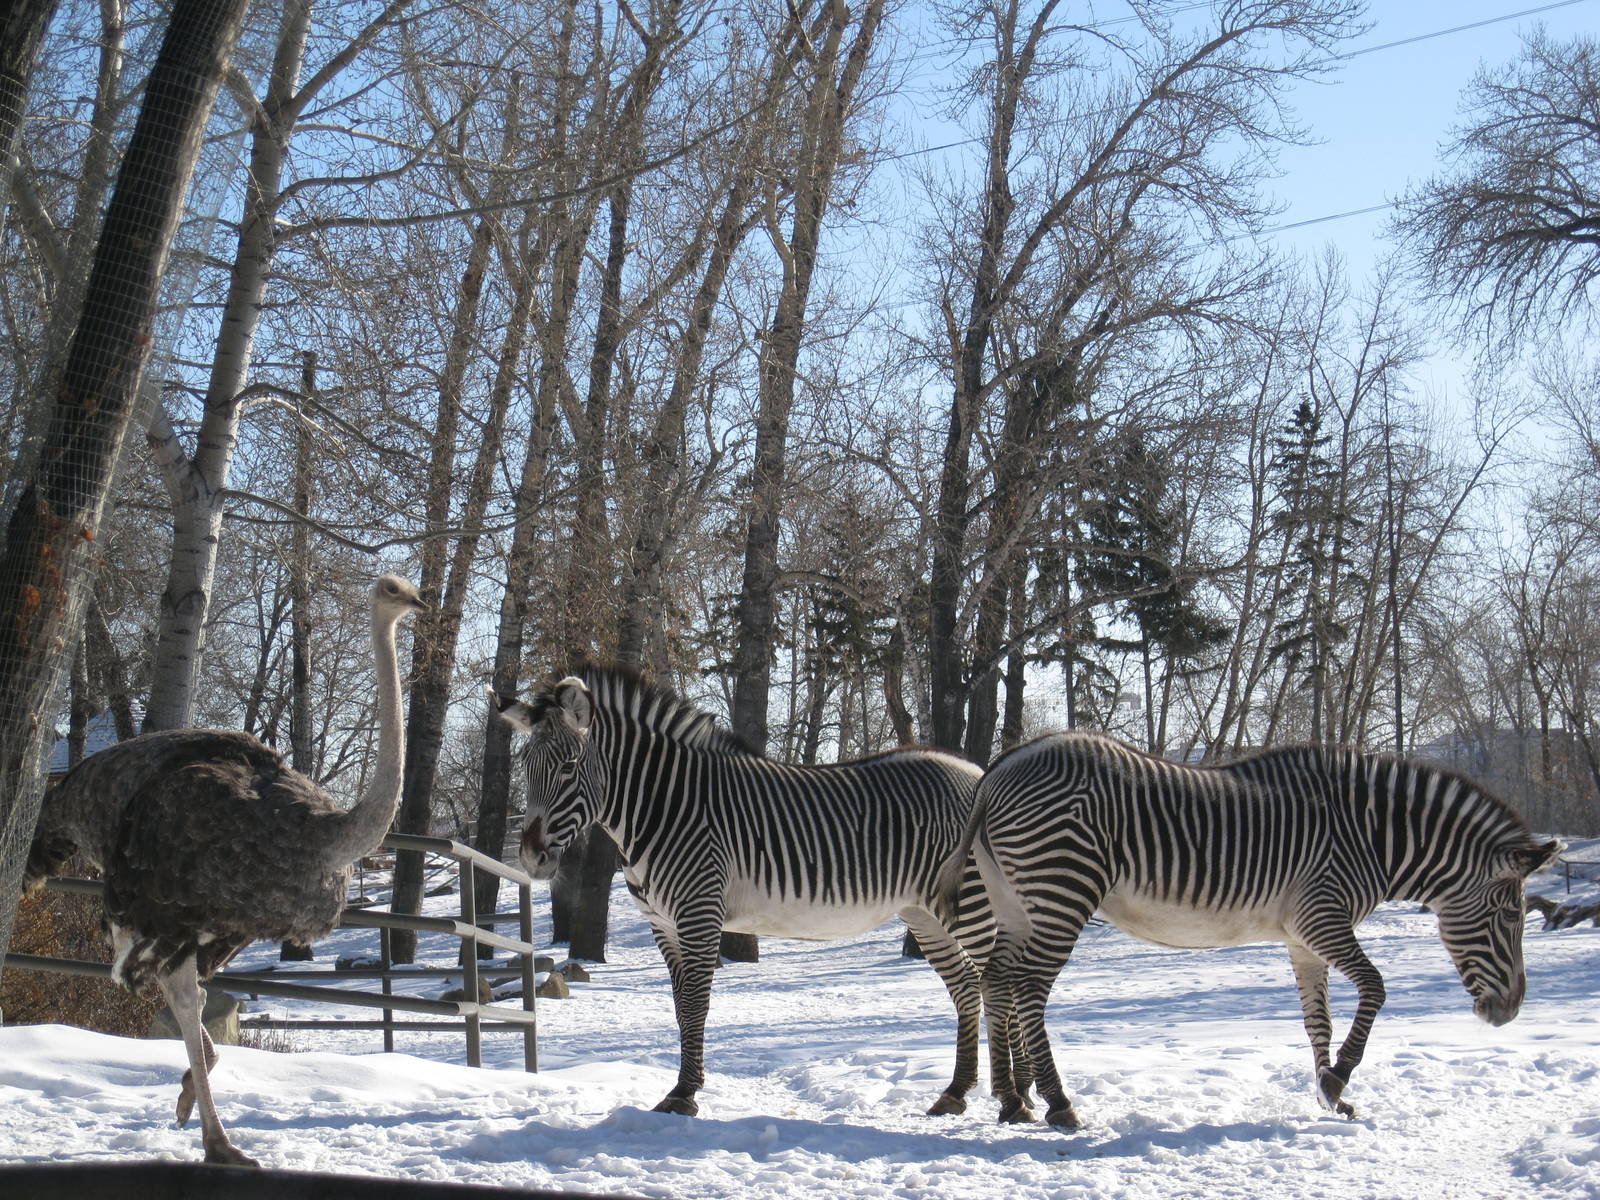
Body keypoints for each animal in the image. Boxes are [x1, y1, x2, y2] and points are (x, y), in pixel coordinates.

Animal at [492, 665, 995, 1118]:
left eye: (568, 767)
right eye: (525, 768)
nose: (532, 857)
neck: (663, 807)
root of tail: (977, 770)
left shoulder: (698, 912)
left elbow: (696, 1004)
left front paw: (683, 1096)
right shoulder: (663, 924)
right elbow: (680, 1006)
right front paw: (685, 1087)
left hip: (973, 903)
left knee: (994, 982)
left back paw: (1005, 1102)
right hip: (925, 914)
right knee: (966, 986)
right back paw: (955, 1093)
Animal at [948, 731, 1562, 1130]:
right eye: (1512, 917)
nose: (1510, 1012)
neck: (1372, 837)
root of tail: (999, 769)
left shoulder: (1303, 937)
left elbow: (1318, 1019)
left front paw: (1328, 1092)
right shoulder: (1323, 917)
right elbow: (1376, 988)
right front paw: (1339, 1079)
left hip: (1015, 901)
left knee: (997, 980)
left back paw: (1012, 1101)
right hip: (1063, 888)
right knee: (1029, 987)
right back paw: (1058, 1104)